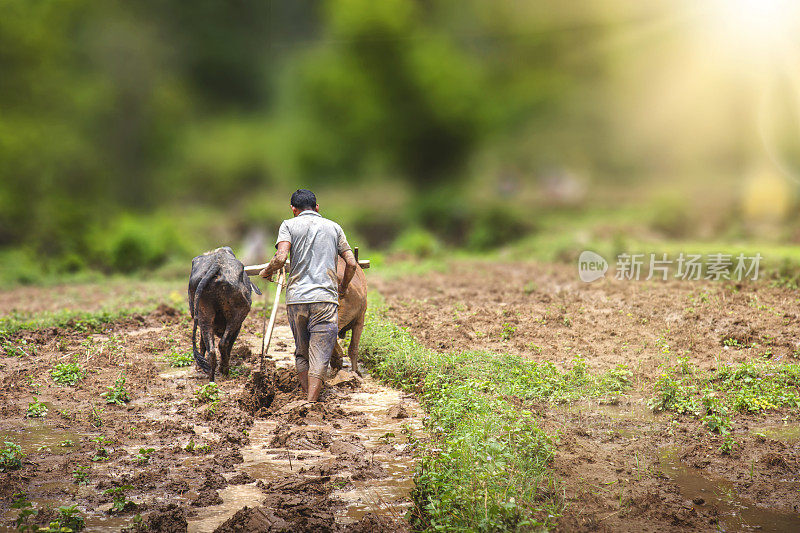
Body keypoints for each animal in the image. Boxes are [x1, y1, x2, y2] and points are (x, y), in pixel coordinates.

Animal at [189, 247, 260, 380]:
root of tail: (217, 263)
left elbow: (202, 343)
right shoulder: (238, 327)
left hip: (204, 315)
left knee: (211, 349)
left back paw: (211, 377)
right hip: (236, 318)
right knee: (223, 343)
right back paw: (225, 370)